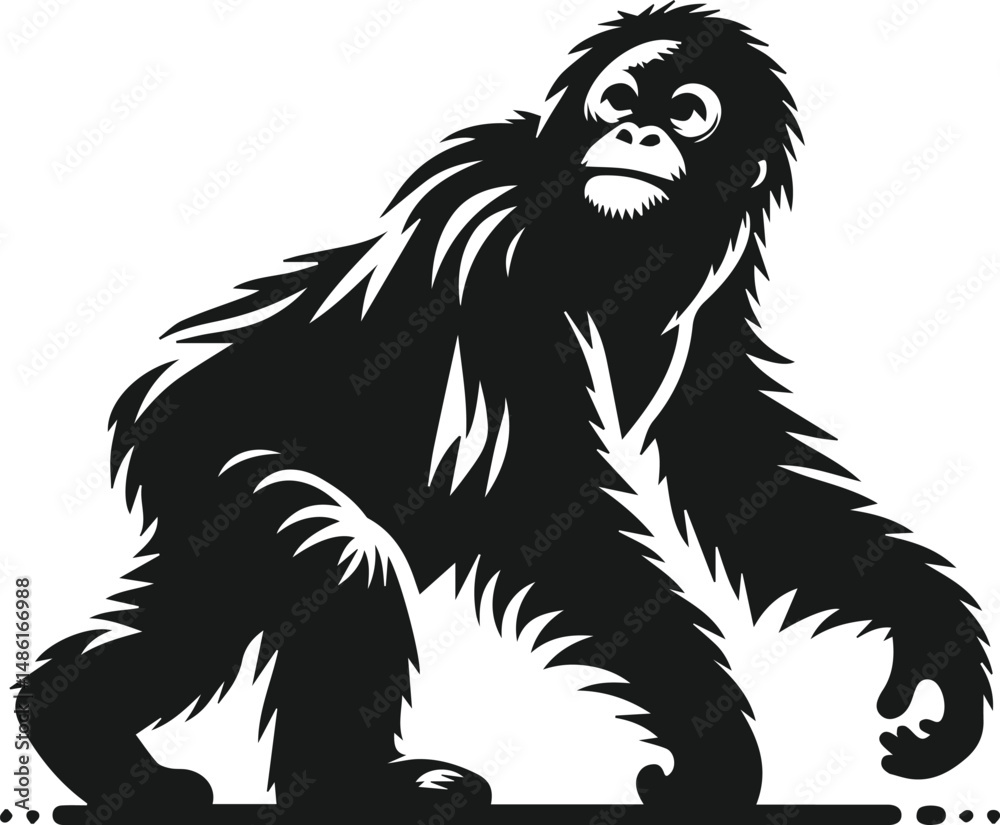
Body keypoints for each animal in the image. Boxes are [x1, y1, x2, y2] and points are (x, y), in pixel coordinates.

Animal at [22, 4, 991, 822]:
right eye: (620, 99)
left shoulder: (712, 294)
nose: (638, 131)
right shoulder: (491, 251)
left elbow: (738, 474)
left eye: (689, 113)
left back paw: (78, 728)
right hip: (198, 442)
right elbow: (545, 505)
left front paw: (931, 638)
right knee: (332, 561)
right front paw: (709, 742)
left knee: (209, 609)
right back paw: (347, 791)